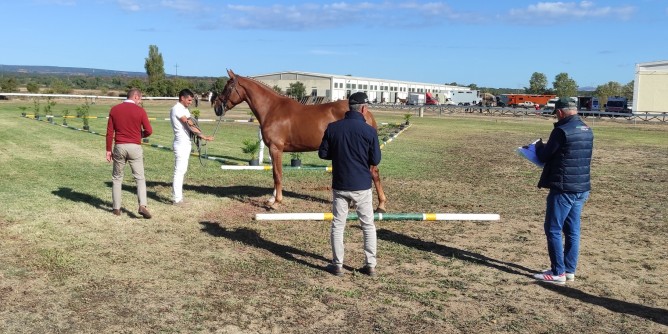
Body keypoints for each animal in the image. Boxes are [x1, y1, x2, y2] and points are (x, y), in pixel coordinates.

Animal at [217, 69, 388, 213]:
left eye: (228, 87)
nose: (217, 107)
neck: (272, 109)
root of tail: (366, 112)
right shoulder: (274, 150)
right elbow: (275, 173)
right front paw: (272, 199)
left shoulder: (275, 148)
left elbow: (277, 175)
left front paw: (277, 202)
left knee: (374, 173)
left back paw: (380, 205)